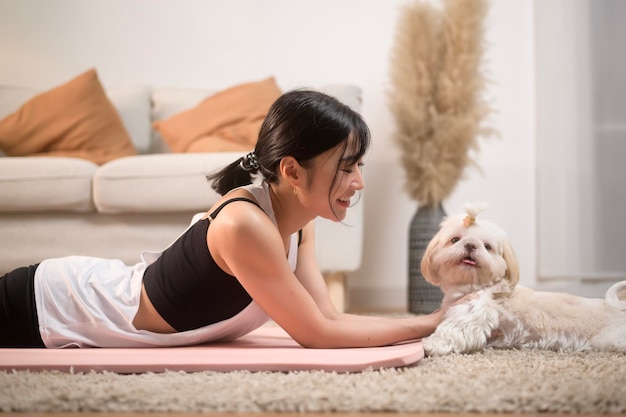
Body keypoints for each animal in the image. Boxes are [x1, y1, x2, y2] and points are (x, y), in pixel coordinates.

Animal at [420, 203, 624, 356]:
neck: (475, 285)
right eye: (455, 240)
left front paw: (430, 344)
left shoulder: (475, 311)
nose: (470, 244)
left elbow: (453, 329)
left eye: (487, 246)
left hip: (610, 339)